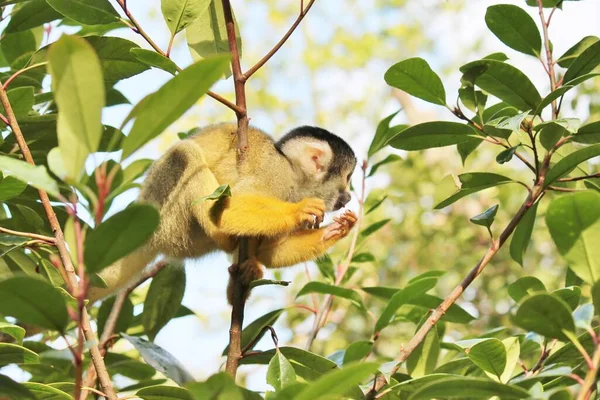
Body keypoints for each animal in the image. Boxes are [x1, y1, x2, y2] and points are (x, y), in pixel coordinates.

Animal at [88, 123, 356, 302]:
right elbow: (229, 209)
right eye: (347, 178)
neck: (294, 177)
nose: (348, 196)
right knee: (185, 154)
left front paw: (336, 230)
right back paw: (226, 239)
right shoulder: (275, 175)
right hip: (166, 214)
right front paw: (300, 210)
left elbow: (271, 253)